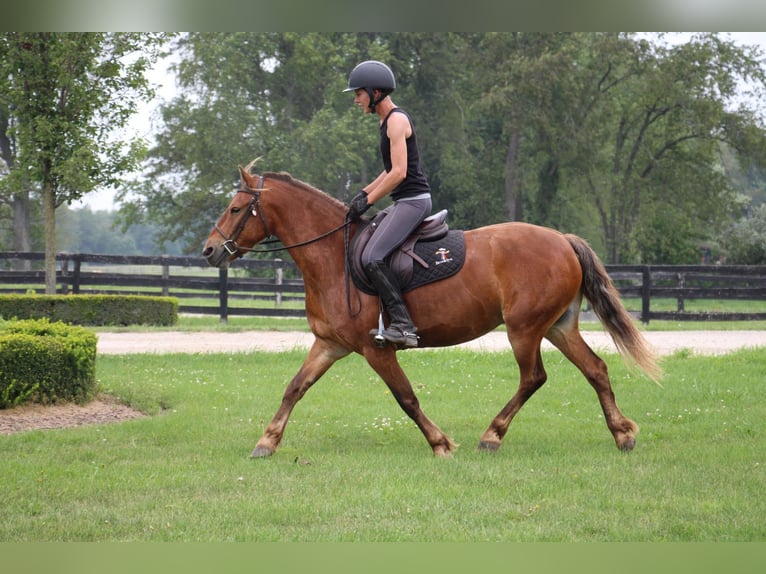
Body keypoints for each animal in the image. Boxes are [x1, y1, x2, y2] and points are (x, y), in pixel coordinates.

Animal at [206, 165, 664, 460]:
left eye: (235, 209)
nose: (210, 251)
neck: (334, 256)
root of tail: (563, 240)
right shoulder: (329, 345)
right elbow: (294, 388)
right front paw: (267, 442)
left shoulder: (376, 350)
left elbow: (406, 397)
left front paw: (440, 443)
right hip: (558, 327)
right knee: (595, 369)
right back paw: (622, 434)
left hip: (524, 329)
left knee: (534, 377)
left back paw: (492, 436)